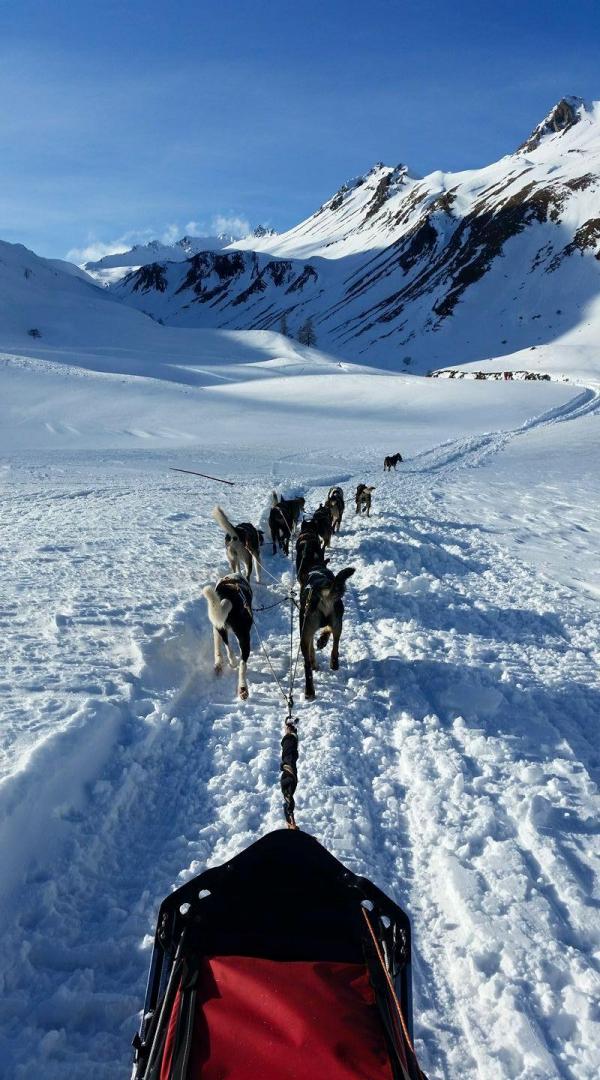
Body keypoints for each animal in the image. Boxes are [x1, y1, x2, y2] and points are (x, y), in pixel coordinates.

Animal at [300, 565, 356, 699]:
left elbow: (312, 648)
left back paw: (310, 690)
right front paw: (322, 640)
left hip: (305, 631)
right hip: (336, 621)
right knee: (335, 646)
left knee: (308, 663)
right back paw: (333, 663)